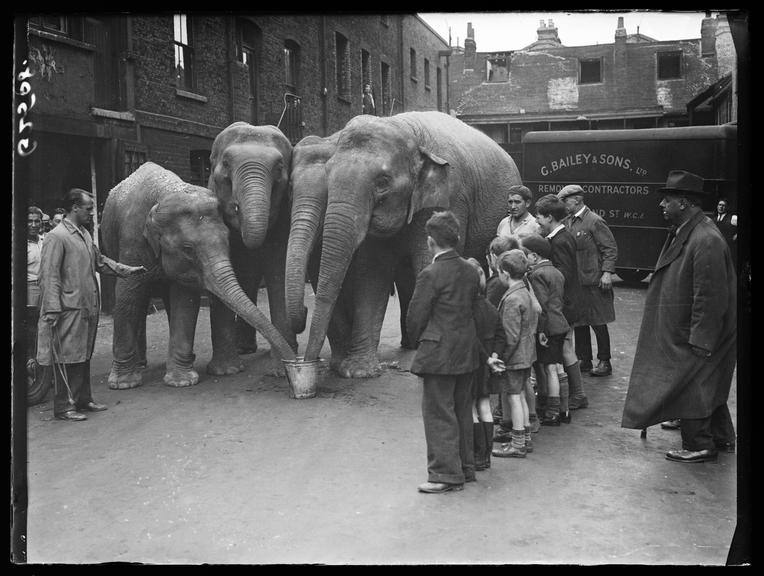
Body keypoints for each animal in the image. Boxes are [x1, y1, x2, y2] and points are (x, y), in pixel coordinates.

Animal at [101, 160, 292, 390]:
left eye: (228, 239)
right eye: (188, 249)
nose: (290, 369)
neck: (167, 193)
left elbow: (185, 300)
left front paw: (181, 382)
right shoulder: (132, 238)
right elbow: (127, 296)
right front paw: (123, 385)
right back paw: (140, 365)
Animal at [204, 122, 296, 376]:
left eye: (279, 167)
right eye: (226, 164)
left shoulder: (284, 215)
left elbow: (278, 271)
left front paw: (281, 371)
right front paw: (226, 372)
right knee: (247, 279)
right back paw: (243, 350)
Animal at [300, 109, 524, 376]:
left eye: (382, 182)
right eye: (328, 174)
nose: (306, 365)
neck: (406, 129)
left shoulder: (450, 196)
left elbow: (429, 262)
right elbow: (372, 274)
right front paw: (359, 371)